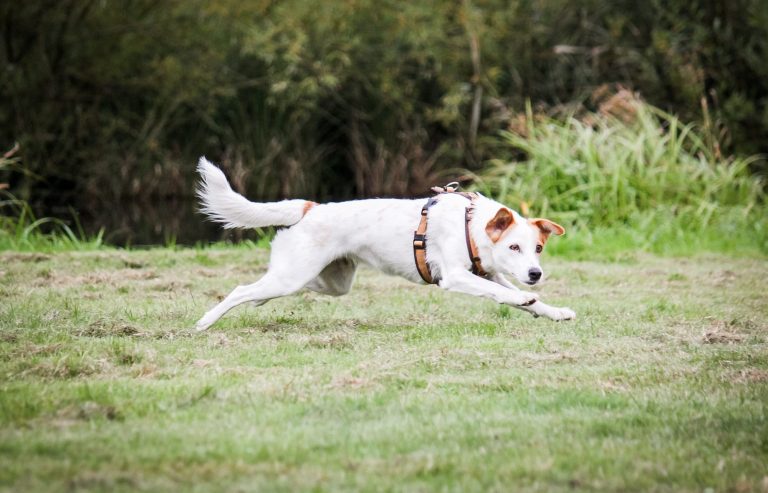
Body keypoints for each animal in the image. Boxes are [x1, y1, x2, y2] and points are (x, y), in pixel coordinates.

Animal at [195, 157, 572, 330]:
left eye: (538, 249)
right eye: (513, 247)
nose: (536, 274)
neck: (470, 224)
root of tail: (310, 208)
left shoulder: (488, 272)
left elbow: (523, 298)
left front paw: (554, 311)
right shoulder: (456, 276)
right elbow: (502, 293)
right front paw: (523, 297)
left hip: (330, 281)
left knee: (281, 287)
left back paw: (259, 302)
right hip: (294, 275)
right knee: (242, 290)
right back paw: (206, 321)